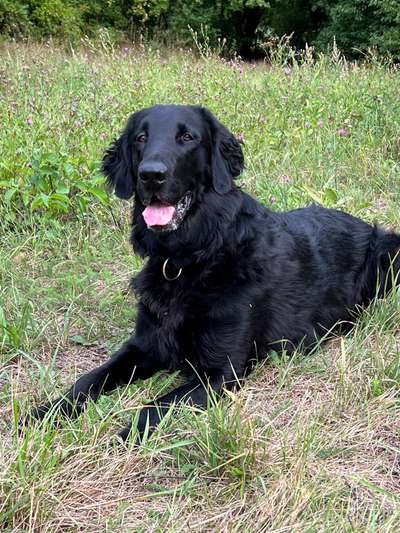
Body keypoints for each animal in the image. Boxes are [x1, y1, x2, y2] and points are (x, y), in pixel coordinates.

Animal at [31, 105, 400, 440]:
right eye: (140, 138)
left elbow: (154, 407)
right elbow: (88, 380)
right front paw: (43, 414)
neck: (189, 260)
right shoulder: (144, 345)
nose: (151, 175)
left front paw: (121, 439)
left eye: (187, 137)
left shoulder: (221, 371)